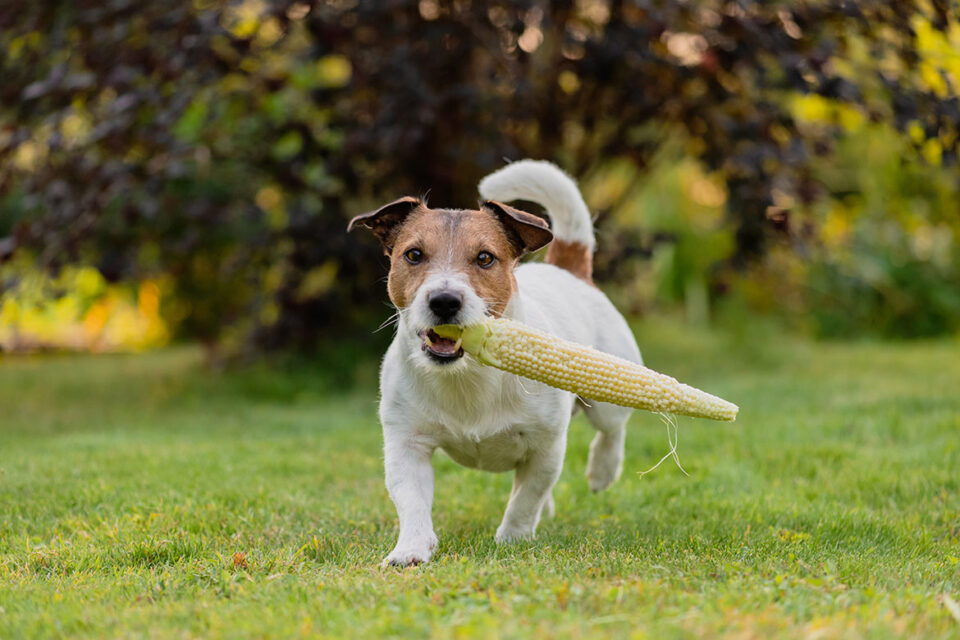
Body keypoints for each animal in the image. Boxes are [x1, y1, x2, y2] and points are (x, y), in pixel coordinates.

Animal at [348, 159, 640, 564]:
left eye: (485, 258)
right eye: (413, 255)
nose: (444, 301)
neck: (468, 375)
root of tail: (569, 270)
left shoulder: (546, 447)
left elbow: (525, 500)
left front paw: (512, 540)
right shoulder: (407, 443)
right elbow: (411, 500)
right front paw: (411, 550)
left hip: (608, 393)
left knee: (613, 429)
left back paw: (602, 470)